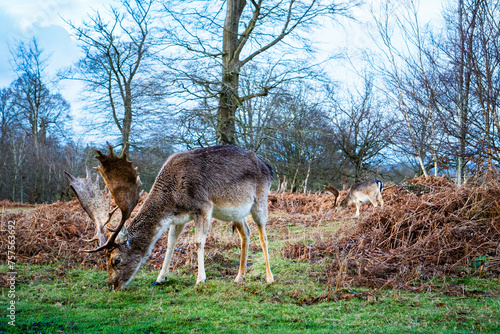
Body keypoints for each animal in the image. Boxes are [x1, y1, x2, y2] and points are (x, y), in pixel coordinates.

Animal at [66, 144, 274, 290]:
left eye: (116, 260)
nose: (112, 286)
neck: (173, 197)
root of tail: (269, 168)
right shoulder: (179, 218)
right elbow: (170, 242)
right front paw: (160, 278)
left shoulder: (204, 205)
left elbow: (198, 242)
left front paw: (200, 279)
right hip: (235, 212)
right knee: (246, 233)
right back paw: (239, 277)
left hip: (260, 200)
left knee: (263, 235)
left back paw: (269, 278)